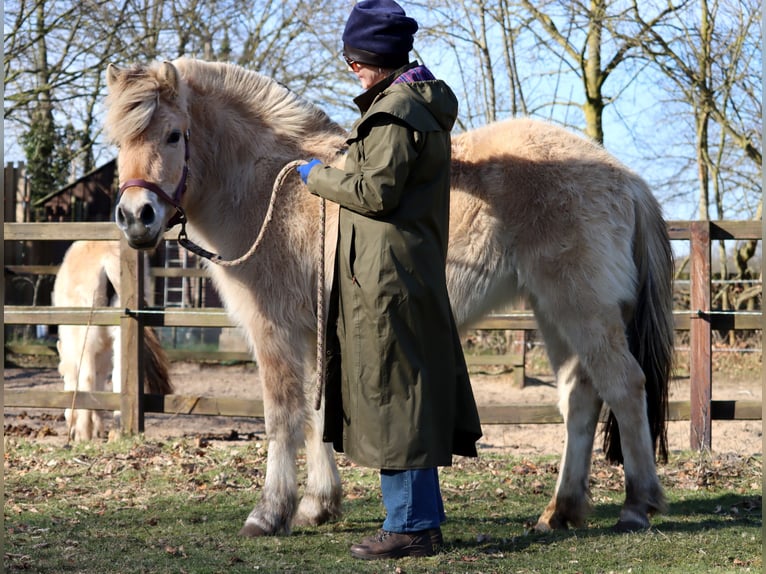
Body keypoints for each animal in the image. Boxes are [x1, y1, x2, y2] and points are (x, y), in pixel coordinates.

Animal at [53, 241, 173, 444]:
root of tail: (108, 254)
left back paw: (83, 433)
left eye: (62, 376)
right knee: (118, 378)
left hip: (85, 335)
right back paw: (117, 432)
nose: (68, 420)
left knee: (87, 379)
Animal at [105, 58, 676, 536]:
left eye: (173, 134)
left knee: (625, 387)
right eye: (118, 141)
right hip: (553, 314)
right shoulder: (312, 333)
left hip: (583, 309)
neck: (274, 191)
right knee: (580, 398)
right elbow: (314, 415)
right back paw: (561, 510)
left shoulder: (275, 332)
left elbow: (282, 416)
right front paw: (318, 505)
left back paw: (637, 505)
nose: (136, 218)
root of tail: (627, 178)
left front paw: (269, 513)